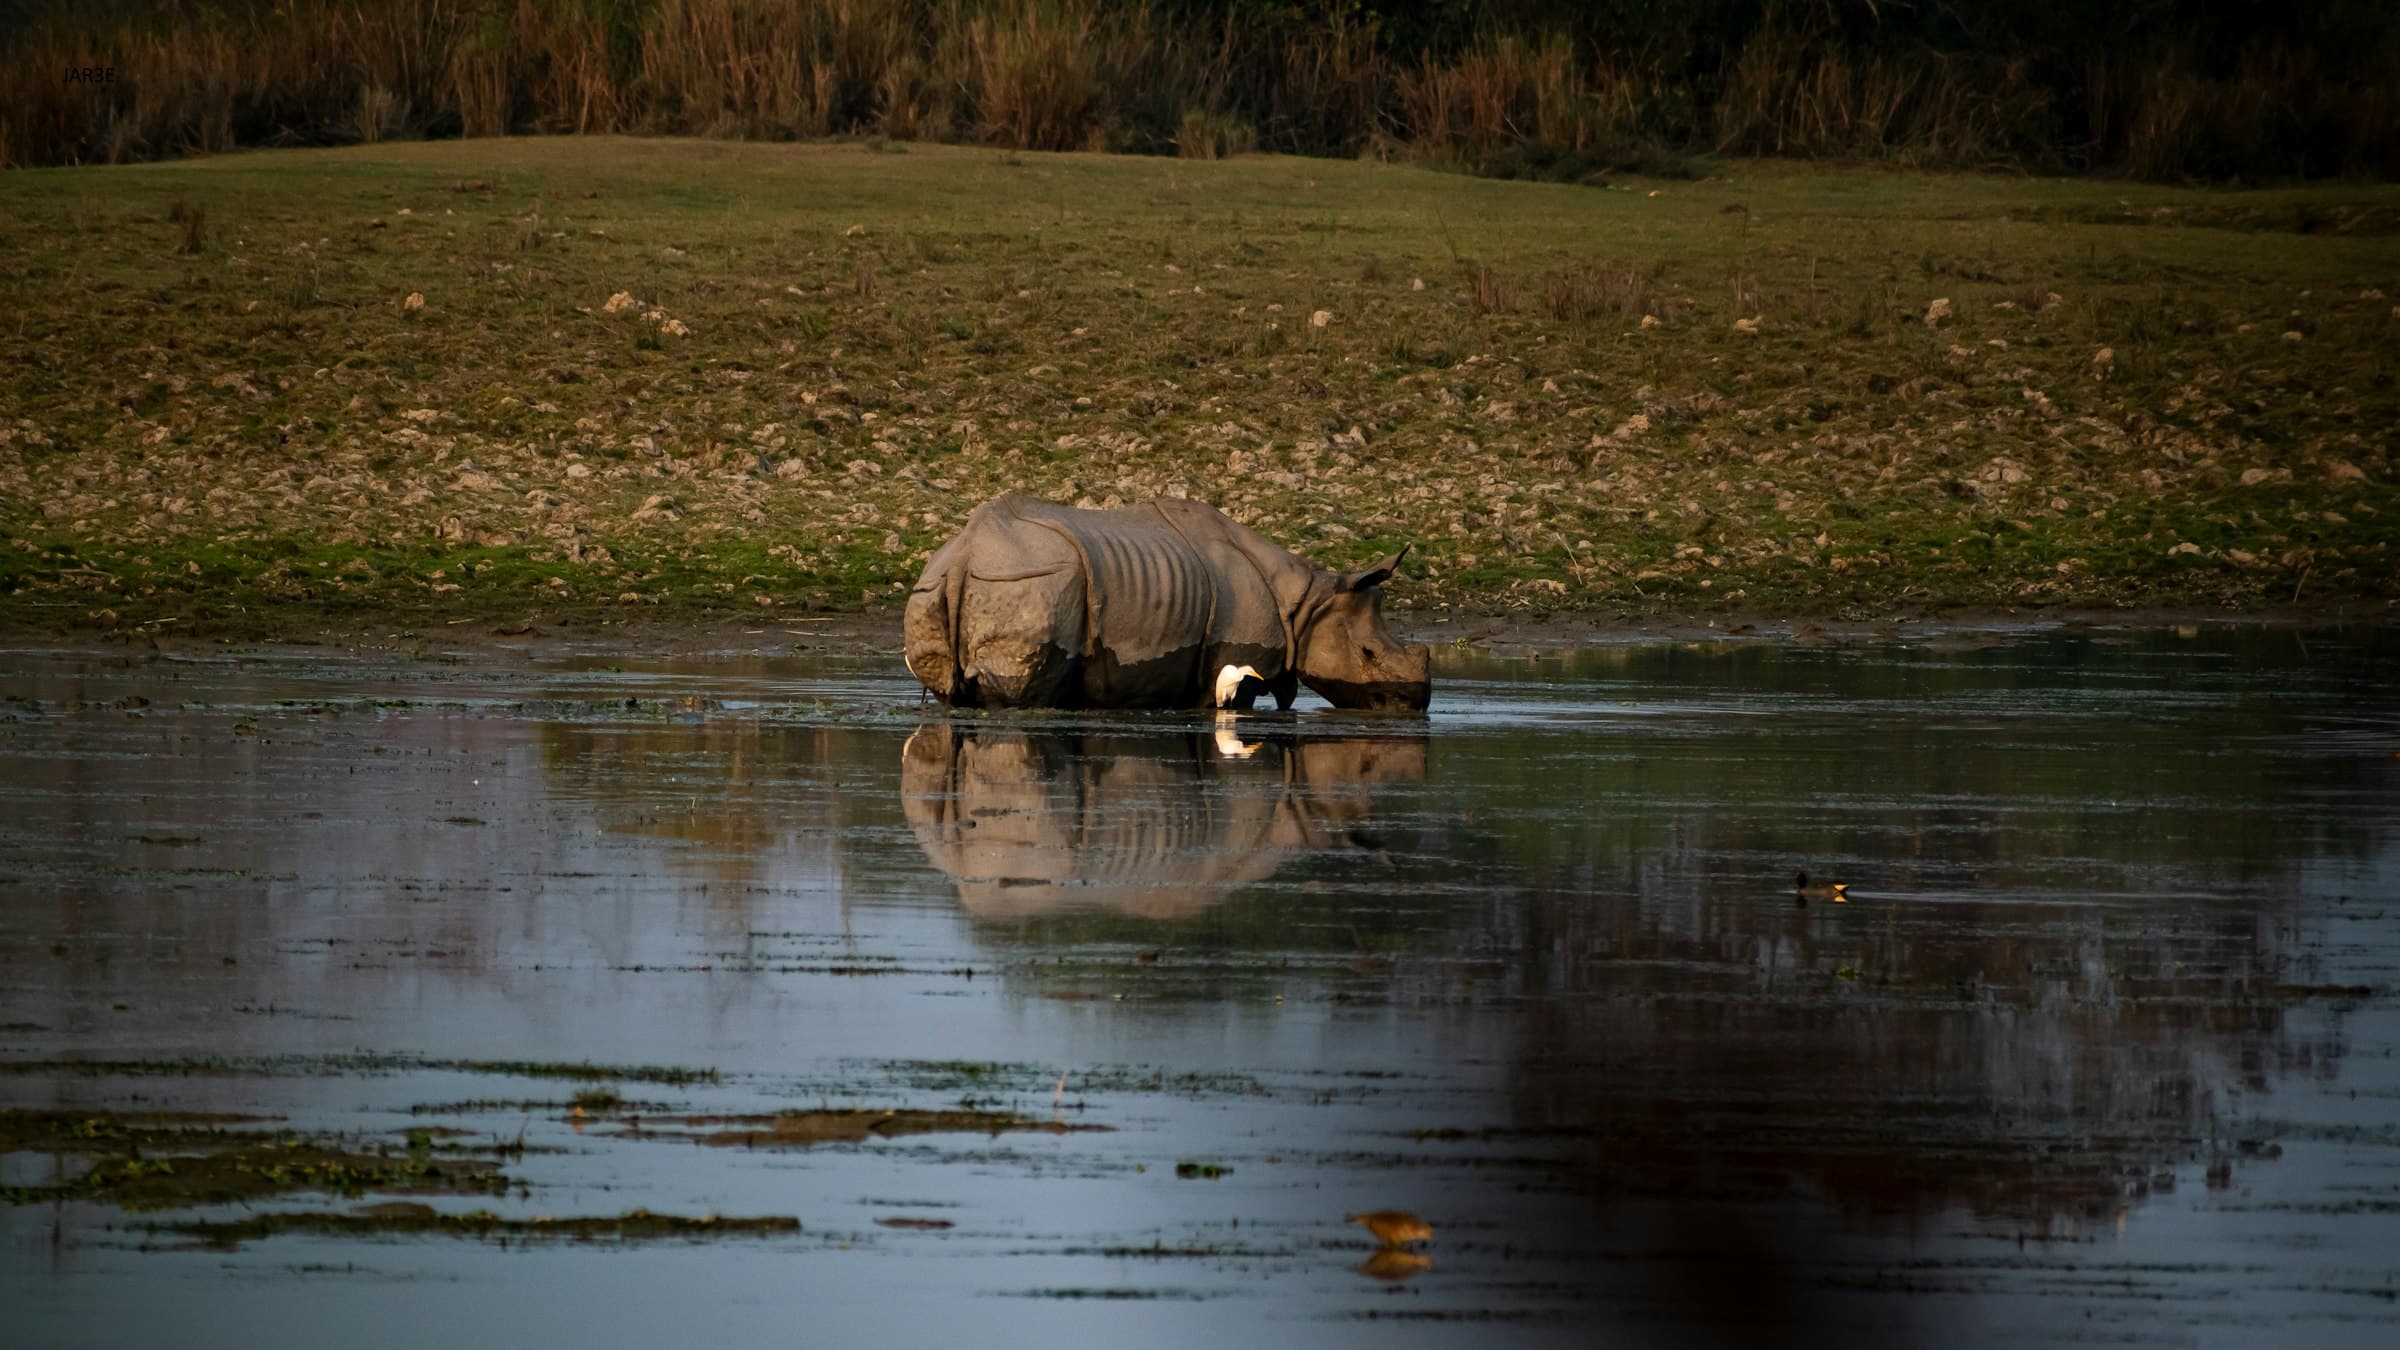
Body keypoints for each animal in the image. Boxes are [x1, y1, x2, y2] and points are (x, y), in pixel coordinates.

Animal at [903, 493, 1431, 711]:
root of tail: (965, 554)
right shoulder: (1236, 660)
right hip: (1031, 581)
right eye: (1368, 654)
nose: (1414, 705)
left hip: (936, 587)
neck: (1307, 603)